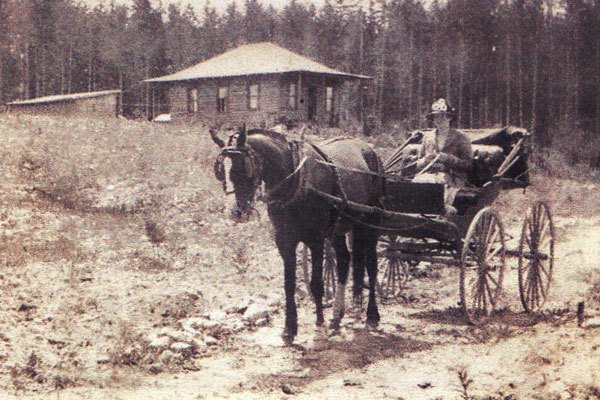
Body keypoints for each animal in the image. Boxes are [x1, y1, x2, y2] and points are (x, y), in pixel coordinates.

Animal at [211, 125, 384, 344]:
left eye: (243, 167)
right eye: (220, 171)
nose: (234, 212)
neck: (296, 181)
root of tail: (368, 148)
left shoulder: (316, 240)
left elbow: (316, 284)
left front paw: (319, 325)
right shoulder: (285, 242)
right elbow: (289, 284)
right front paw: (289, 329)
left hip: (369, 223)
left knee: (371, 264)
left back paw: (372, 315)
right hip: (337, 229)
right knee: (344, 260)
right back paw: (337, 314)